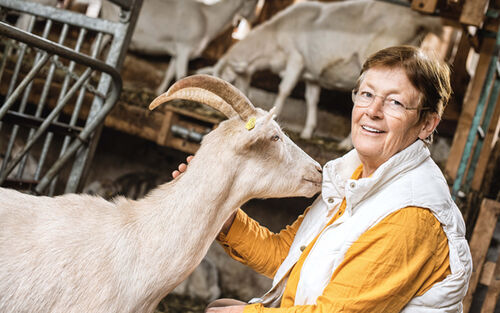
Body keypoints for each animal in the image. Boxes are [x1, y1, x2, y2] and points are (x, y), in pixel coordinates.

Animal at [211, 0, 442, 139]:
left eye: (227, 78)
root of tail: (416, 18)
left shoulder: (296, 59)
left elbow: (284, 90)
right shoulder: (312, 74)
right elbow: (312, 99)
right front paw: (308, 130)